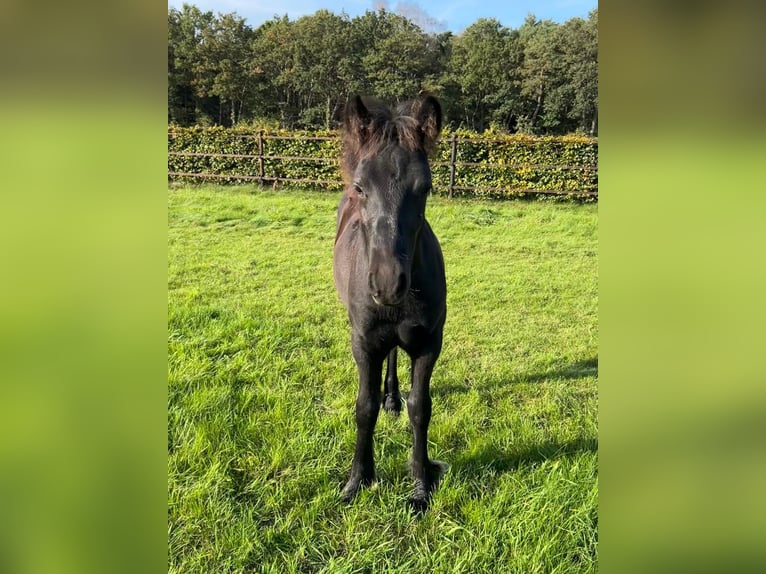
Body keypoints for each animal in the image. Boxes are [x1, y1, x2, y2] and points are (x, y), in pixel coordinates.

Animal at [333, 94, 447, 511]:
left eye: (425, 187)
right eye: (361, 187)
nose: (387, 283)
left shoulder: (429, 343)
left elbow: (421, 408)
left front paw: (420, 485)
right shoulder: (364, 343)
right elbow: (364, 408)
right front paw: (358, 480)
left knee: (396, 354)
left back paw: (393, 399)